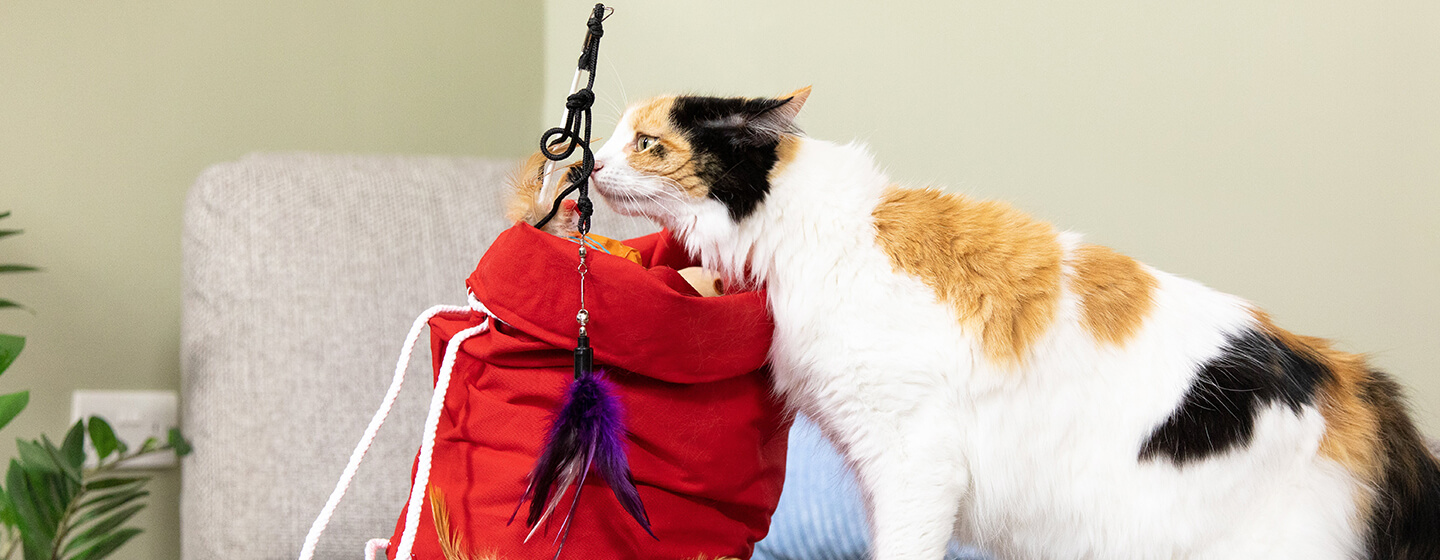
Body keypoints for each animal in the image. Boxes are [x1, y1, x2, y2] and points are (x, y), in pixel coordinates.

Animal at [584, 88, 1440, 558]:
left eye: (648, 143)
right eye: (613, 136)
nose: (586, 161)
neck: (815, 226)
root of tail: (1349, 377)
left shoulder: (913, 460)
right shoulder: (880, 469)